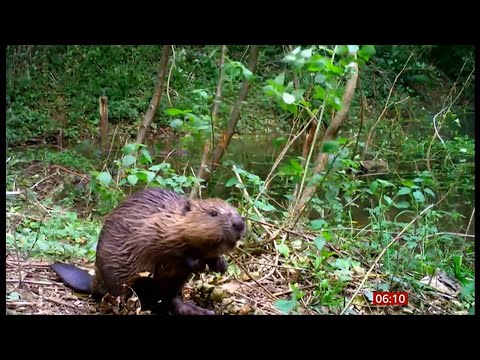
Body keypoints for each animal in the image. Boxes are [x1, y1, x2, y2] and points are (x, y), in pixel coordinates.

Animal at [51, 188, 248, 316]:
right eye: (213, 213)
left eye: (235, 211)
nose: (239, 223)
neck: (170, 218)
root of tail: (93, 283)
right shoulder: (151, 229)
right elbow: (168, 251)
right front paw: (198, 264)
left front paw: (221, 265)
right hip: (120, 284)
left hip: (173, 285)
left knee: (171, 299)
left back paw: (200, 310)